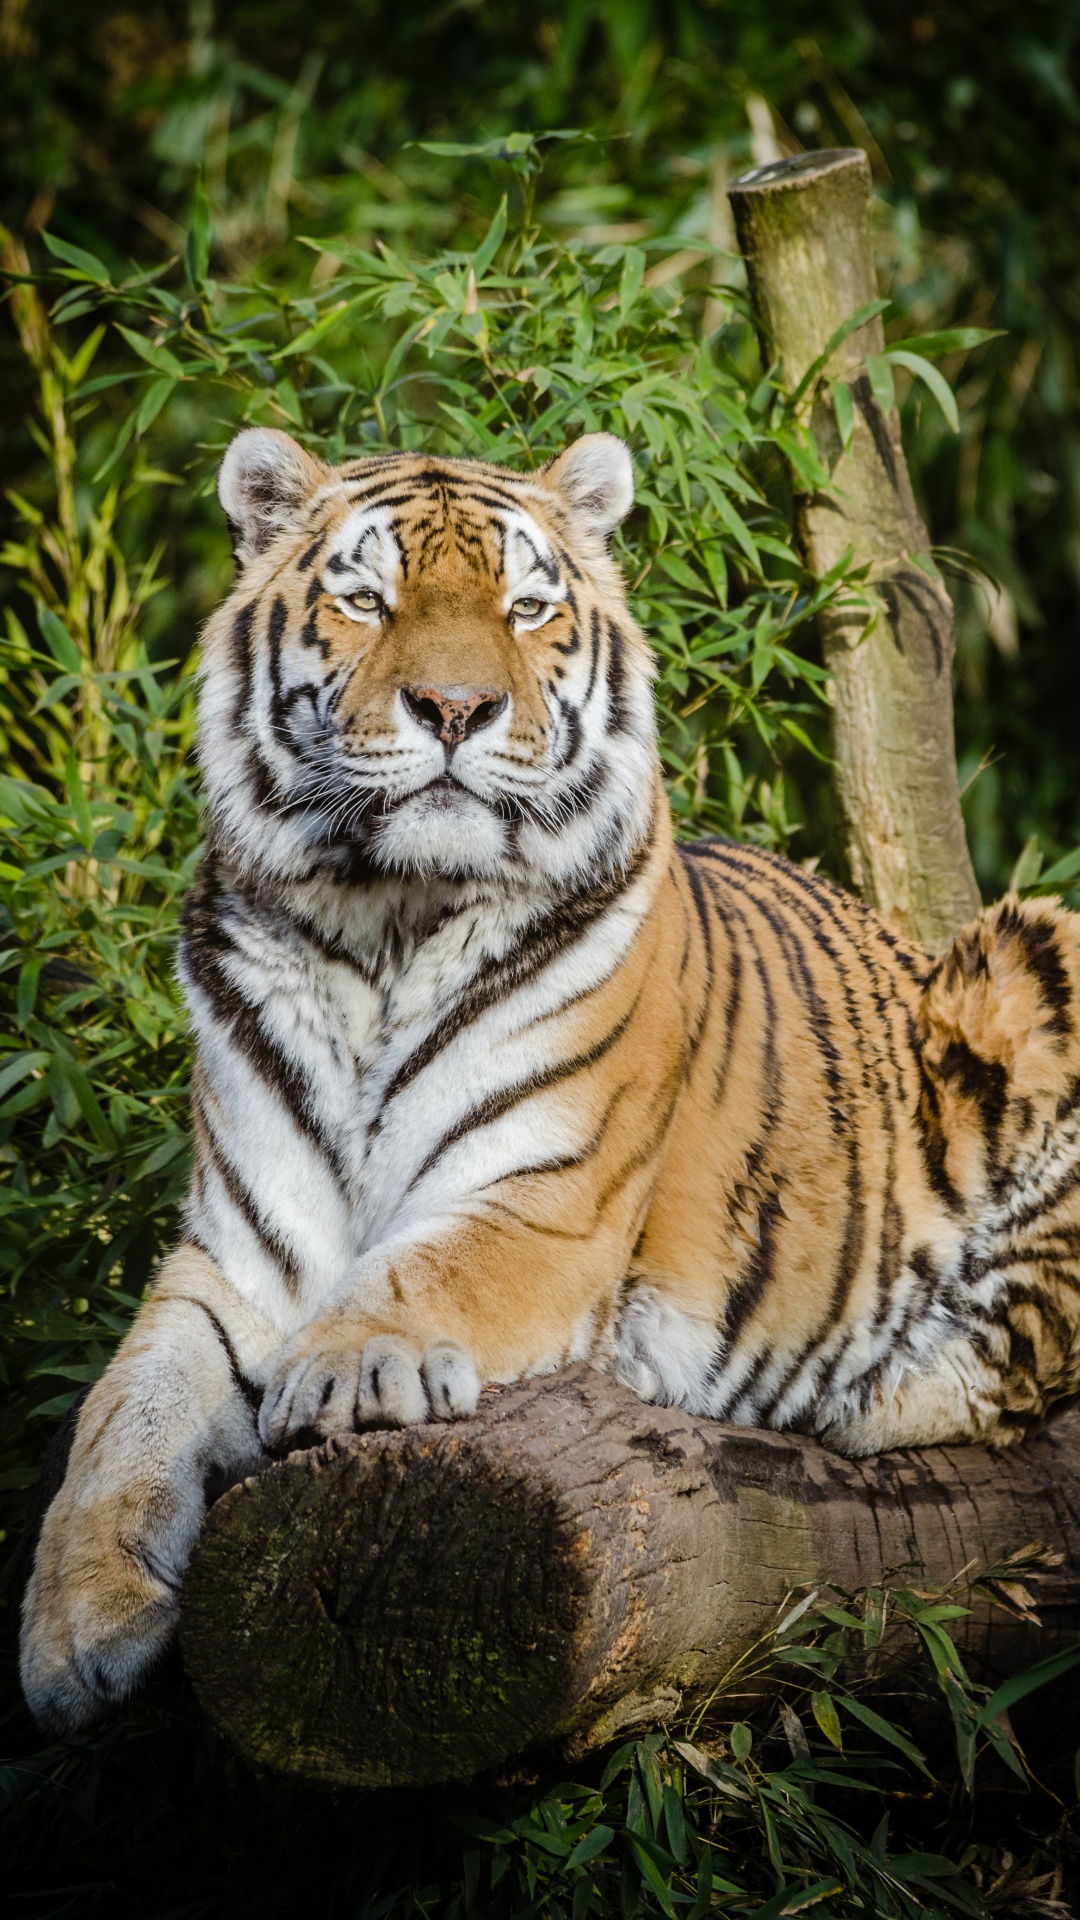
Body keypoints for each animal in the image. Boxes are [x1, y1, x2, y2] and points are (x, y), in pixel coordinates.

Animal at [20, 426, 1080, 1734]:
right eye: (366, 600)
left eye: (527, 609)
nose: (456, 707)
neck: (382, 925)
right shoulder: (236, 1253)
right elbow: (122, 1412)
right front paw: (76, 1627)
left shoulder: (545, 1204)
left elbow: (418, 1268)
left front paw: (342, 1368)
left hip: (1035, 952)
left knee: (1028, 1351)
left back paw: (865, 1390)